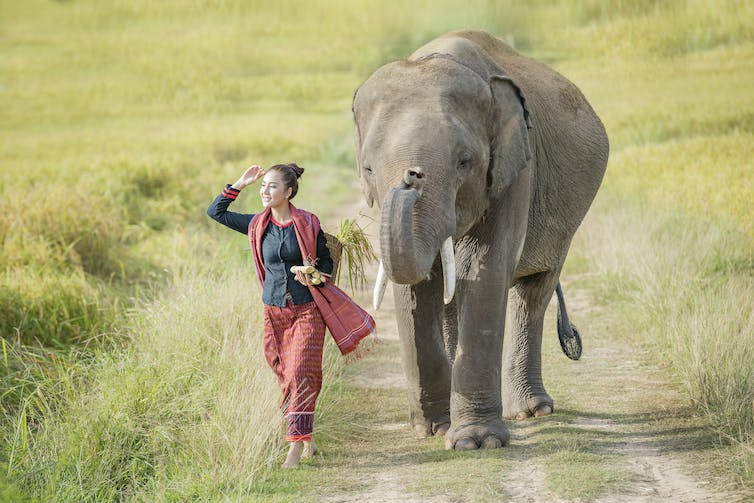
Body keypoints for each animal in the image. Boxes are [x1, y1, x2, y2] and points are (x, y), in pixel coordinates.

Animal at [352, 29, 604, 450]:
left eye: (464, 162)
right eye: (368, 168)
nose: (410, 176)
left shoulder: (516, 170)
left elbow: (484, 269)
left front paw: (476, 443)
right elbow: (417, 286)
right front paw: (433, 429)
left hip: (566, 220)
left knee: (534, 293)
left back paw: (532, 411)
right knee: (454, 302)